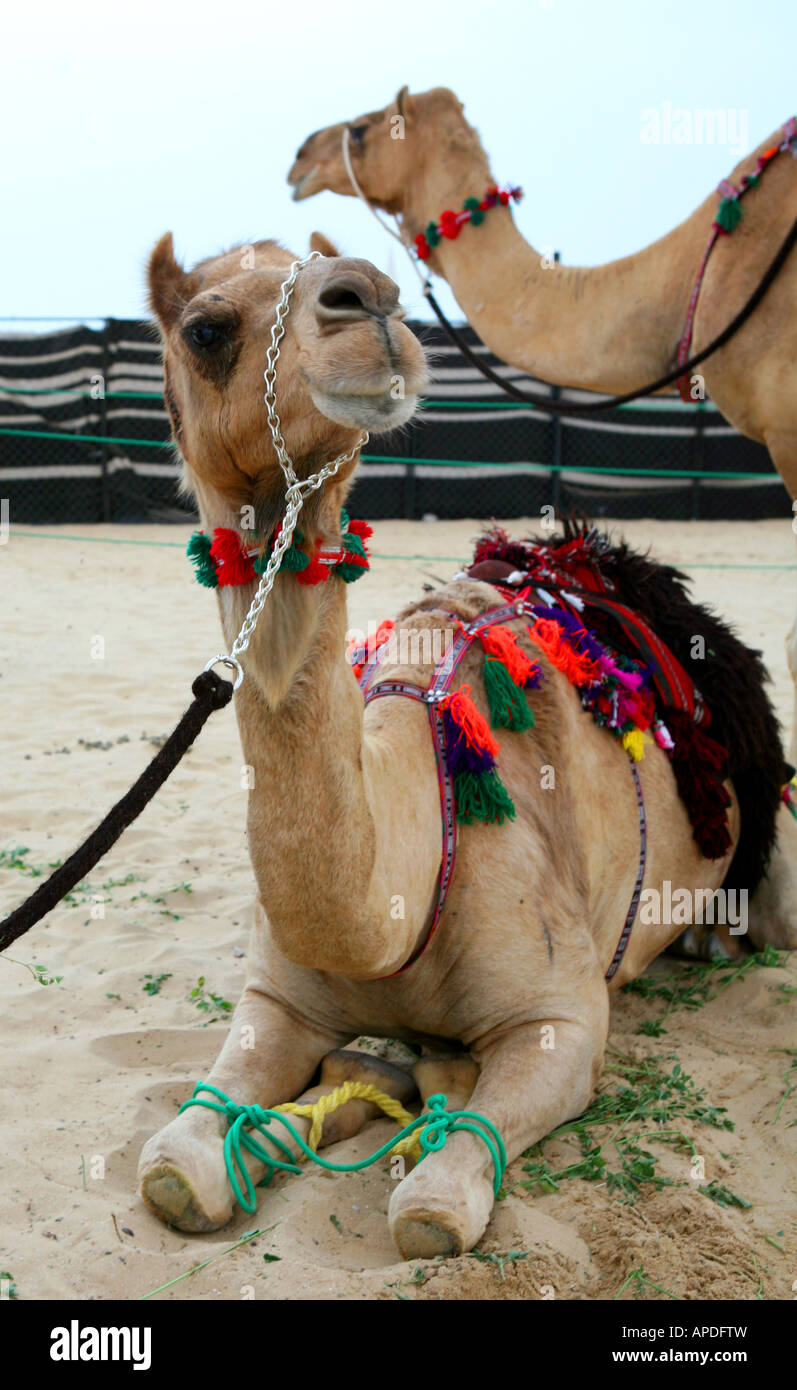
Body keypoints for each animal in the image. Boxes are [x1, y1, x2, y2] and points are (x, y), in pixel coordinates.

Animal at [138, 230, 795, 1262]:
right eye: (205, 327)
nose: (367, 297)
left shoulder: (560, 1018)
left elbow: (434, 1207)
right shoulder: (274, 1002)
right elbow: (173, 1161)